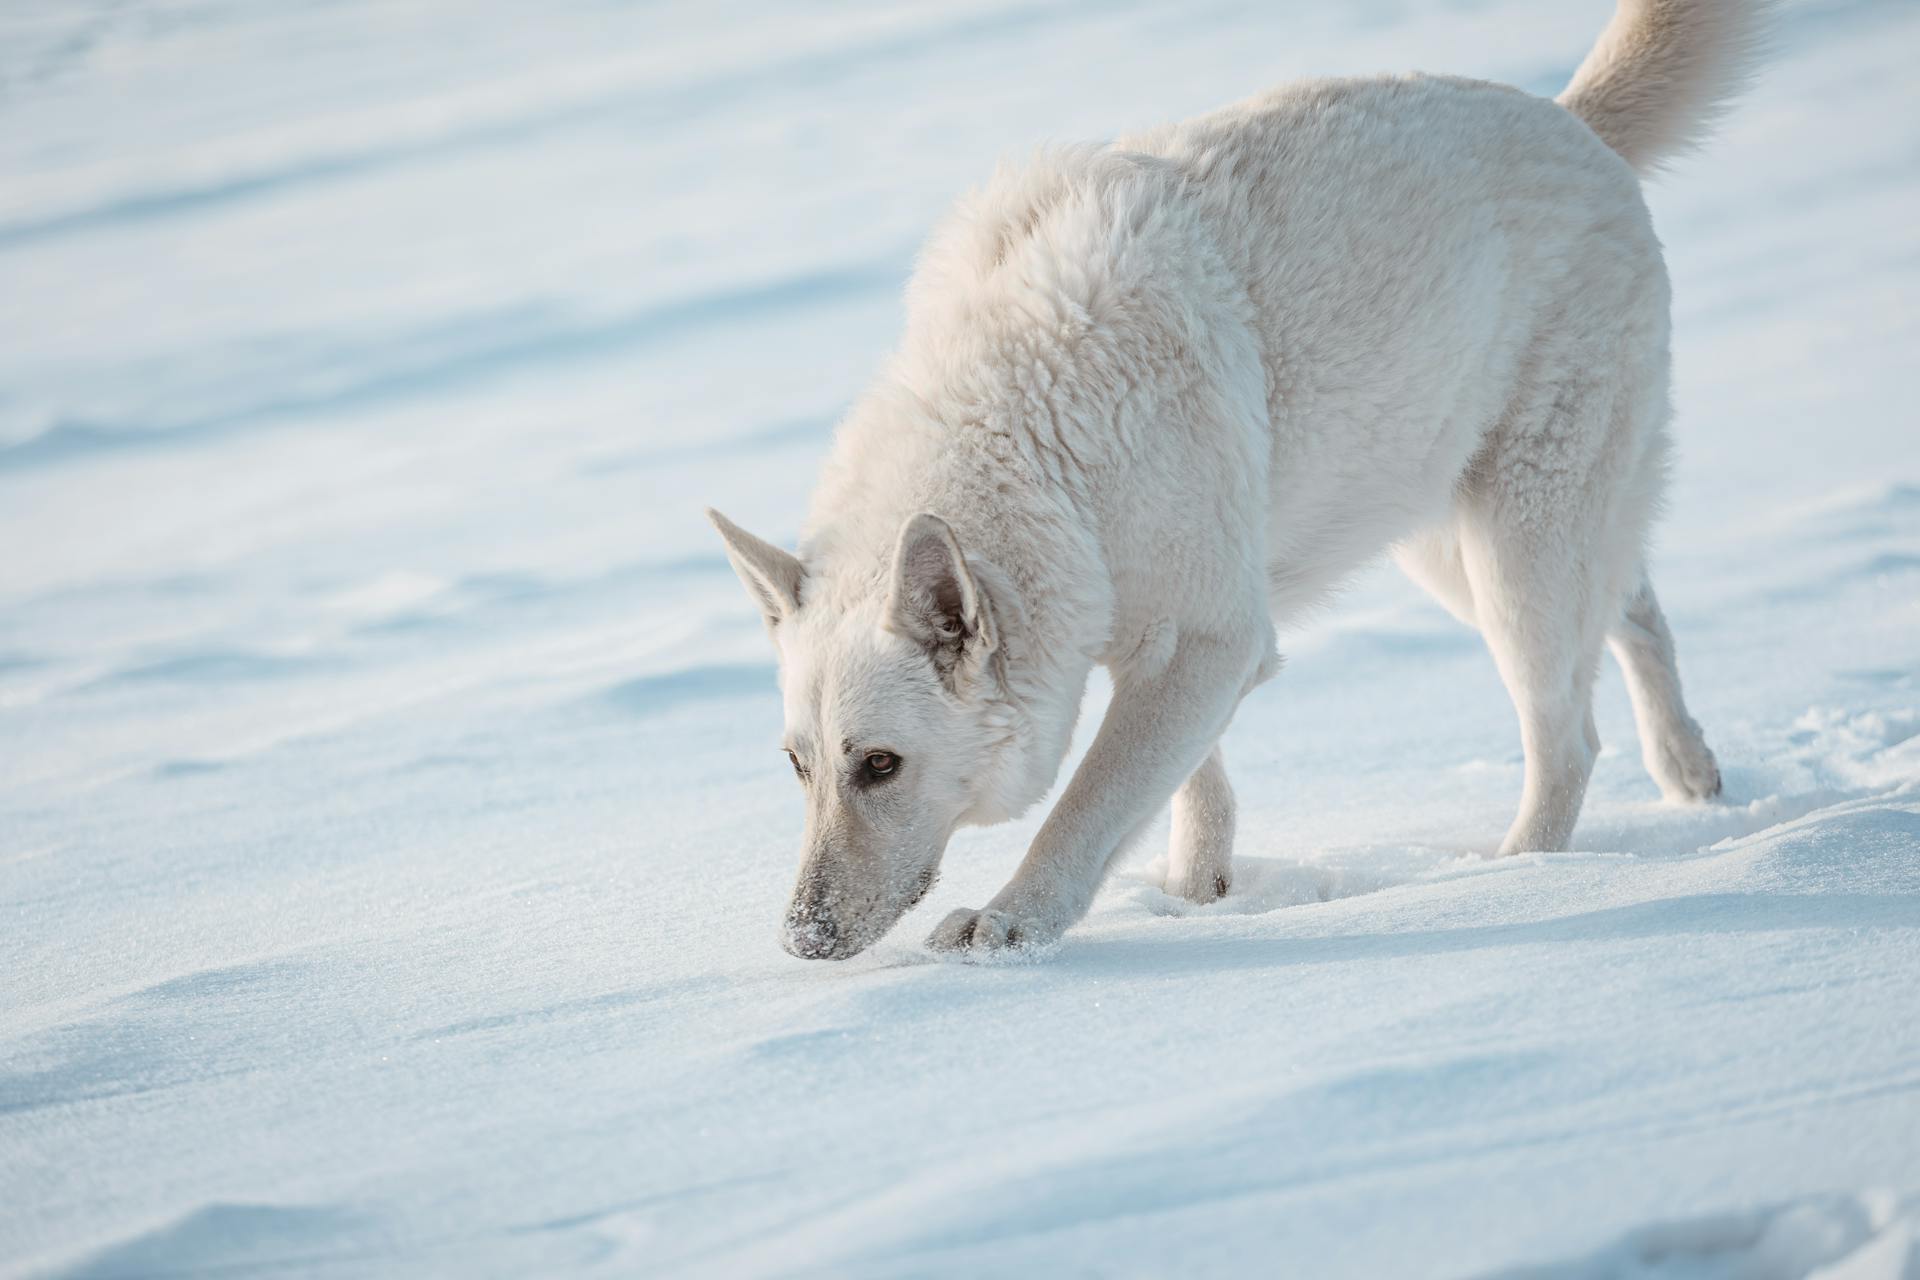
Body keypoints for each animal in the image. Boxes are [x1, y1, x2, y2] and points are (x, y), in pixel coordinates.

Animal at [710, 0, 1766, 959]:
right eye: (797, 766)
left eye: (879, 765)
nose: (800, 941)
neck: (1035, 433)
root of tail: (1573, 121)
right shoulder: (1193, 639)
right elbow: (1187, 779)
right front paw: (1197, 890)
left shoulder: (1202, 637)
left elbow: (1091, 800)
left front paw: (1012, 925)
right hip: (1442, 537)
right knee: (1630, 606)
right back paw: (1689, 768)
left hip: (1517, 553)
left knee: (1569, 734)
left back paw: (1521, 878)